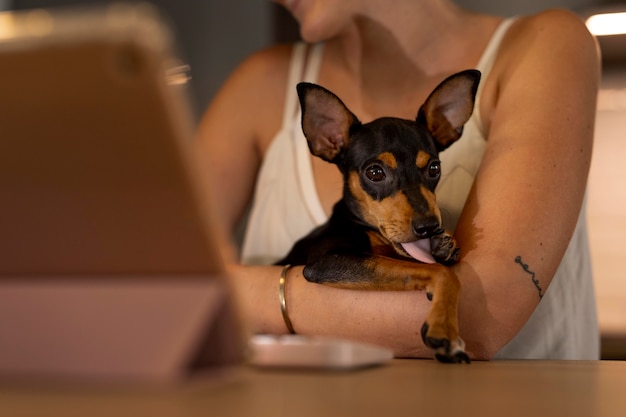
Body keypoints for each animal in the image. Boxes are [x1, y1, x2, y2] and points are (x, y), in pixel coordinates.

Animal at [276, 70, 478, 362]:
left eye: (434, 168)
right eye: (374, 173)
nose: (428, 227)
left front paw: (444, 246)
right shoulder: (327, 262)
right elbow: (441, 273)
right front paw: (444, 328)